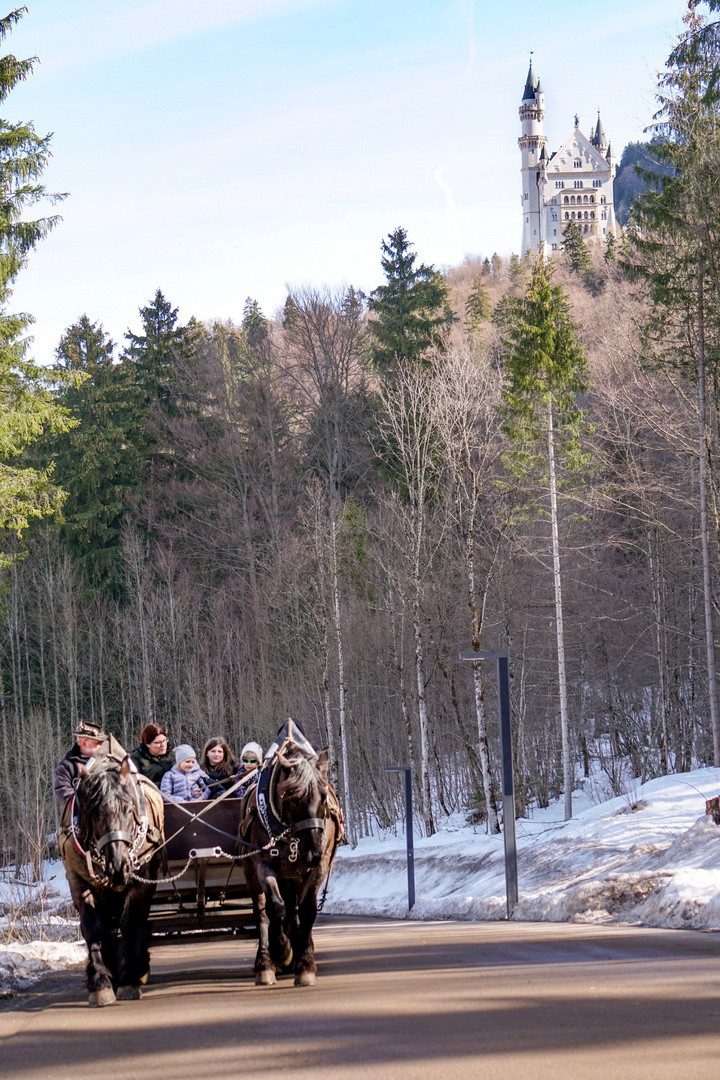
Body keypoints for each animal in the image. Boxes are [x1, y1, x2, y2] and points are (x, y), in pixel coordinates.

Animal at [58, 756, 165, 1006]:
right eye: (94, 812)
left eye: (128, 809)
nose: (119, 866)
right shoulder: (79, 883)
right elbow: (93, 928)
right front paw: (100, 983)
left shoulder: (140, 883)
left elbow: (131, 924)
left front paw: (129, 979)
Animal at [239, 734, 343, 989]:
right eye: (294, 799)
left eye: (324, 797)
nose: (314, 851)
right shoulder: (263, 865)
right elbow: (275, 908)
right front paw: (282, 951)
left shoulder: (317, 868)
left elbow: (306, 910)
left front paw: (305, 965)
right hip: (252, 873)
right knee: (261, 912)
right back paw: (265, 965)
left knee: (294, 912)